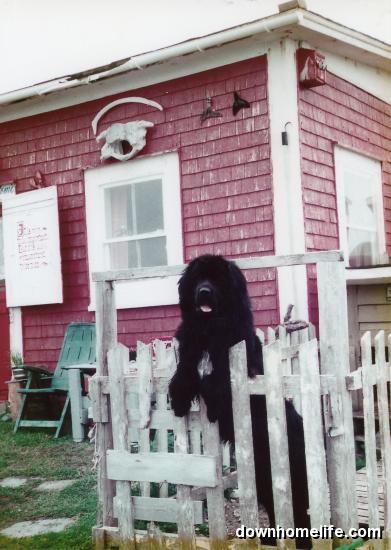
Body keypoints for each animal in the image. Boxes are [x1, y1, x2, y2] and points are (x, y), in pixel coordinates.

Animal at [170, 256, 310, 544]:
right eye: (198, 278)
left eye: (217, 279)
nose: (204, 291)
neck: (209, 330)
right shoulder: (190, 345)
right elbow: (185, 369)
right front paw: (178, 395)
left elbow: (218, 379)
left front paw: (211, 400)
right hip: (265, 481)